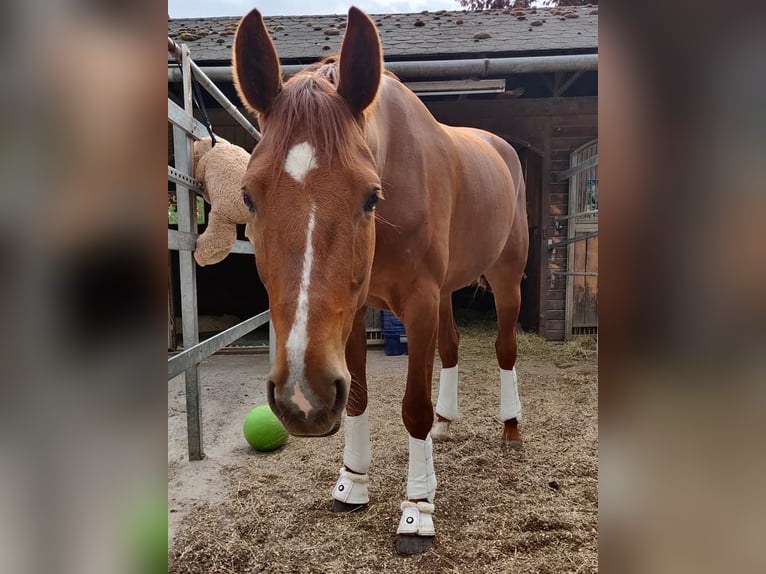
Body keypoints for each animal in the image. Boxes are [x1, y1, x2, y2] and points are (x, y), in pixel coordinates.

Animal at [237, 5, 532, 560]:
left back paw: (510, 426)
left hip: (505, 277)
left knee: (505, 349)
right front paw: (352, 483)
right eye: (248, 196)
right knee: (452, 345)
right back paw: (446, 422)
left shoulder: (417, 302)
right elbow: (357, 396)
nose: (301, 398)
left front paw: (417, 510)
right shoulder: (353, 312)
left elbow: (412, 408)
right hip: (446, 292)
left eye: (371, 196)